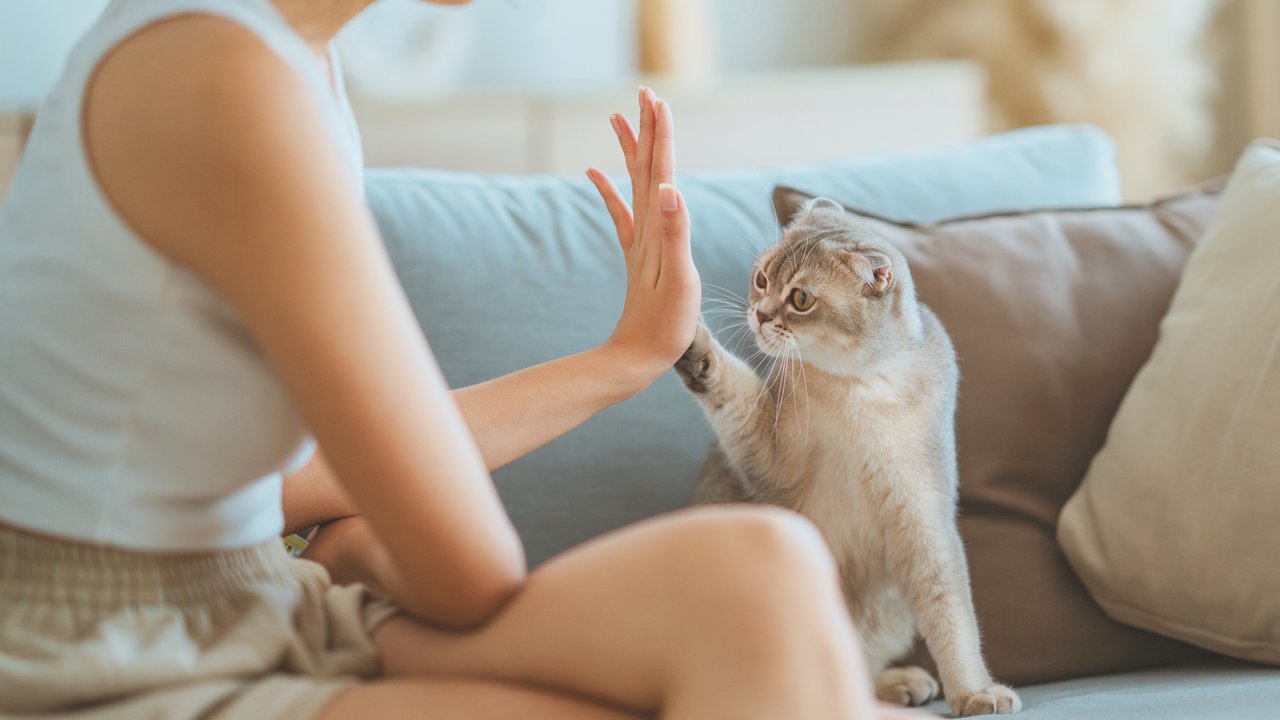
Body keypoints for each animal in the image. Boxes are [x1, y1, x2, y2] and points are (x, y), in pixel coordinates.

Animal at [670, 196, 1018, 712]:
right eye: (761, 279)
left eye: (801, 299)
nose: (759, 314)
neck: (861, 389)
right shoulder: (771, 460)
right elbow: (728, 383)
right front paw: (692, 342)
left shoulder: (923, 516)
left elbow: (951, 614)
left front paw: (973, 692)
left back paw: (900, 684)